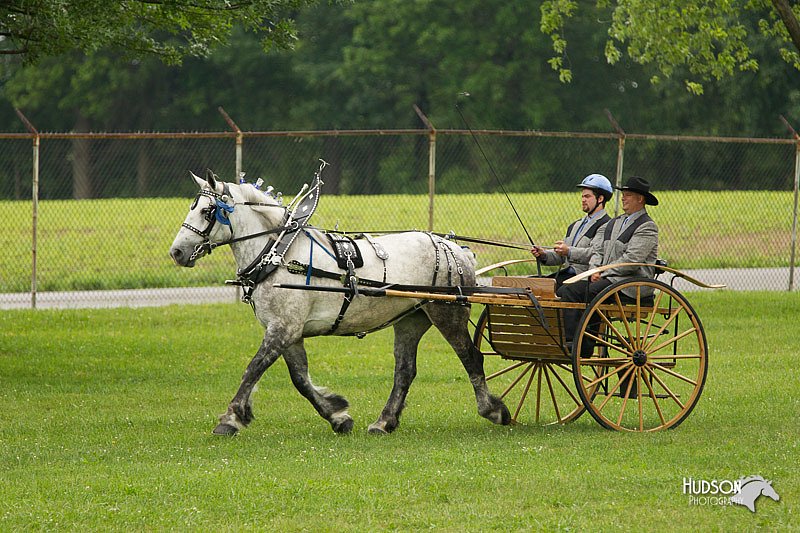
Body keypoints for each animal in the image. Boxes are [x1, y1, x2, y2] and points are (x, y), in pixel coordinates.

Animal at [169, 170, 510, 436]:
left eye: (207, 211)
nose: (176, 252)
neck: (277, 254)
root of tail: (454, 248)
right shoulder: (289, 332)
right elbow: (300, 379)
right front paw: (337, 415)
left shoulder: (283, 329)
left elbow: (254, 368)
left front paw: (231, 418)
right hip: (411, 319)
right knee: (405, 370)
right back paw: (384, 422)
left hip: (447, 314)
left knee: (471, 358)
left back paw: (492, 410)